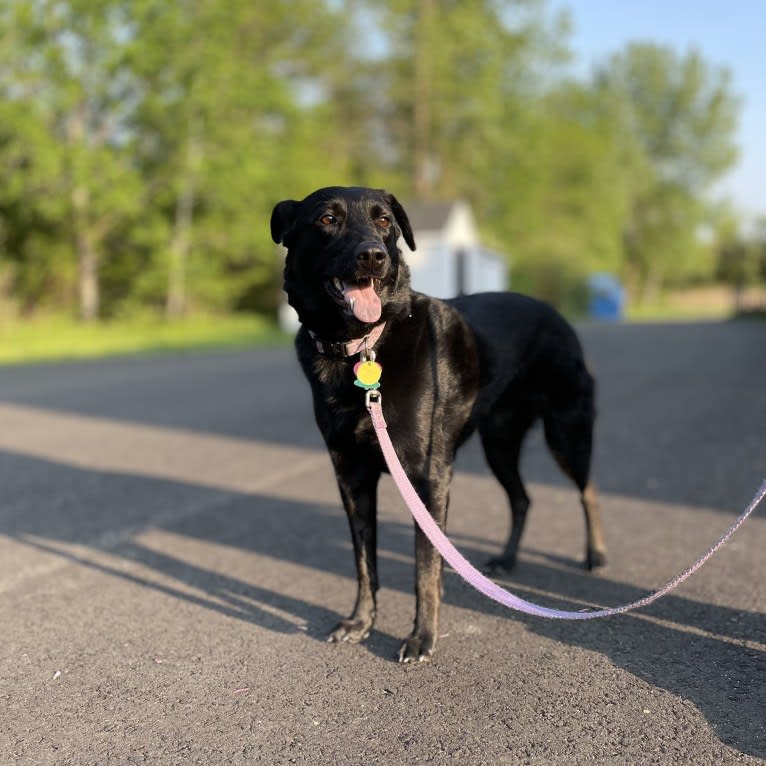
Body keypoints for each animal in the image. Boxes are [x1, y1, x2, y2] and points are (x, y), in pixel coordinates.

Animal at [270, 188, 608, 664]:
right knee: (522, 498)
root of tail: (554, 313)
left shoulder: (428, 477)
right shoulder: (352, 478)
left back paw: (595, 553)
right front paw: (361, 622)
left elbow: (425, 567)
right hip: (499, 443)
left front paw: (422, 636)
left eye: (386, 221)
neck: (361, 347)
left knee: (588, 490)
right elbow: (364, 562)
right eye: (327, 219)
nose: (373, 256)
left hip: (566, 431)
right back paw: (507, 559)